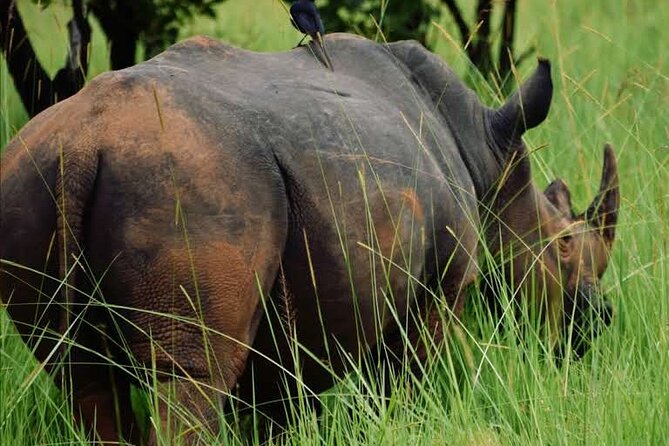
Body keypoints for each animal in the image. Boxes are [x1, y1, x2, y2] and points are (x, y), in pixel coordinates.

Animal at [0, 34, 619, 443]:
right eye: (565, 246)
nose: (597, 322)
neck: (489, 157)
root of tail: (85, 142)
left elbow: (277, 407)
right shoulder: (441, 292)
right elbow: (408, 384)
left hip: (29, 180)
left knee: (80, 376)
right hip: (191, 185)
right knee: (189, 379)